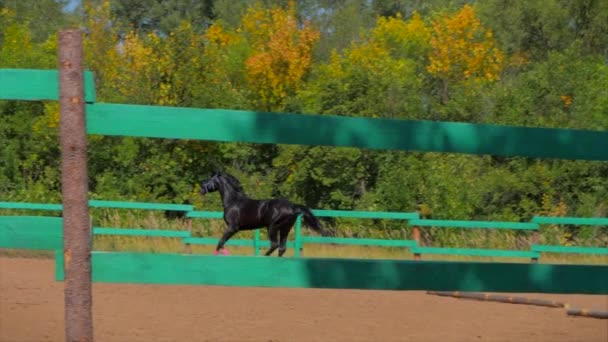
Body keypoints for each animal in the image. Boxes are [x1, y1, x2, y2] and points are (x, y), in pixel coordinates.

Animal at [200, 171, 332, 256]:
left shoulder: (233, 227)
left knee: (275, 245)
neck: (233, 201)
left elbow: (220, 243)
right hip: (285, 228)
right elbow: (221, 243)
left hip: (272, 227)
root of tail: (292, 206)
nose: (201, 189)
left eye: (209, 179)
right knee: (282, 248)